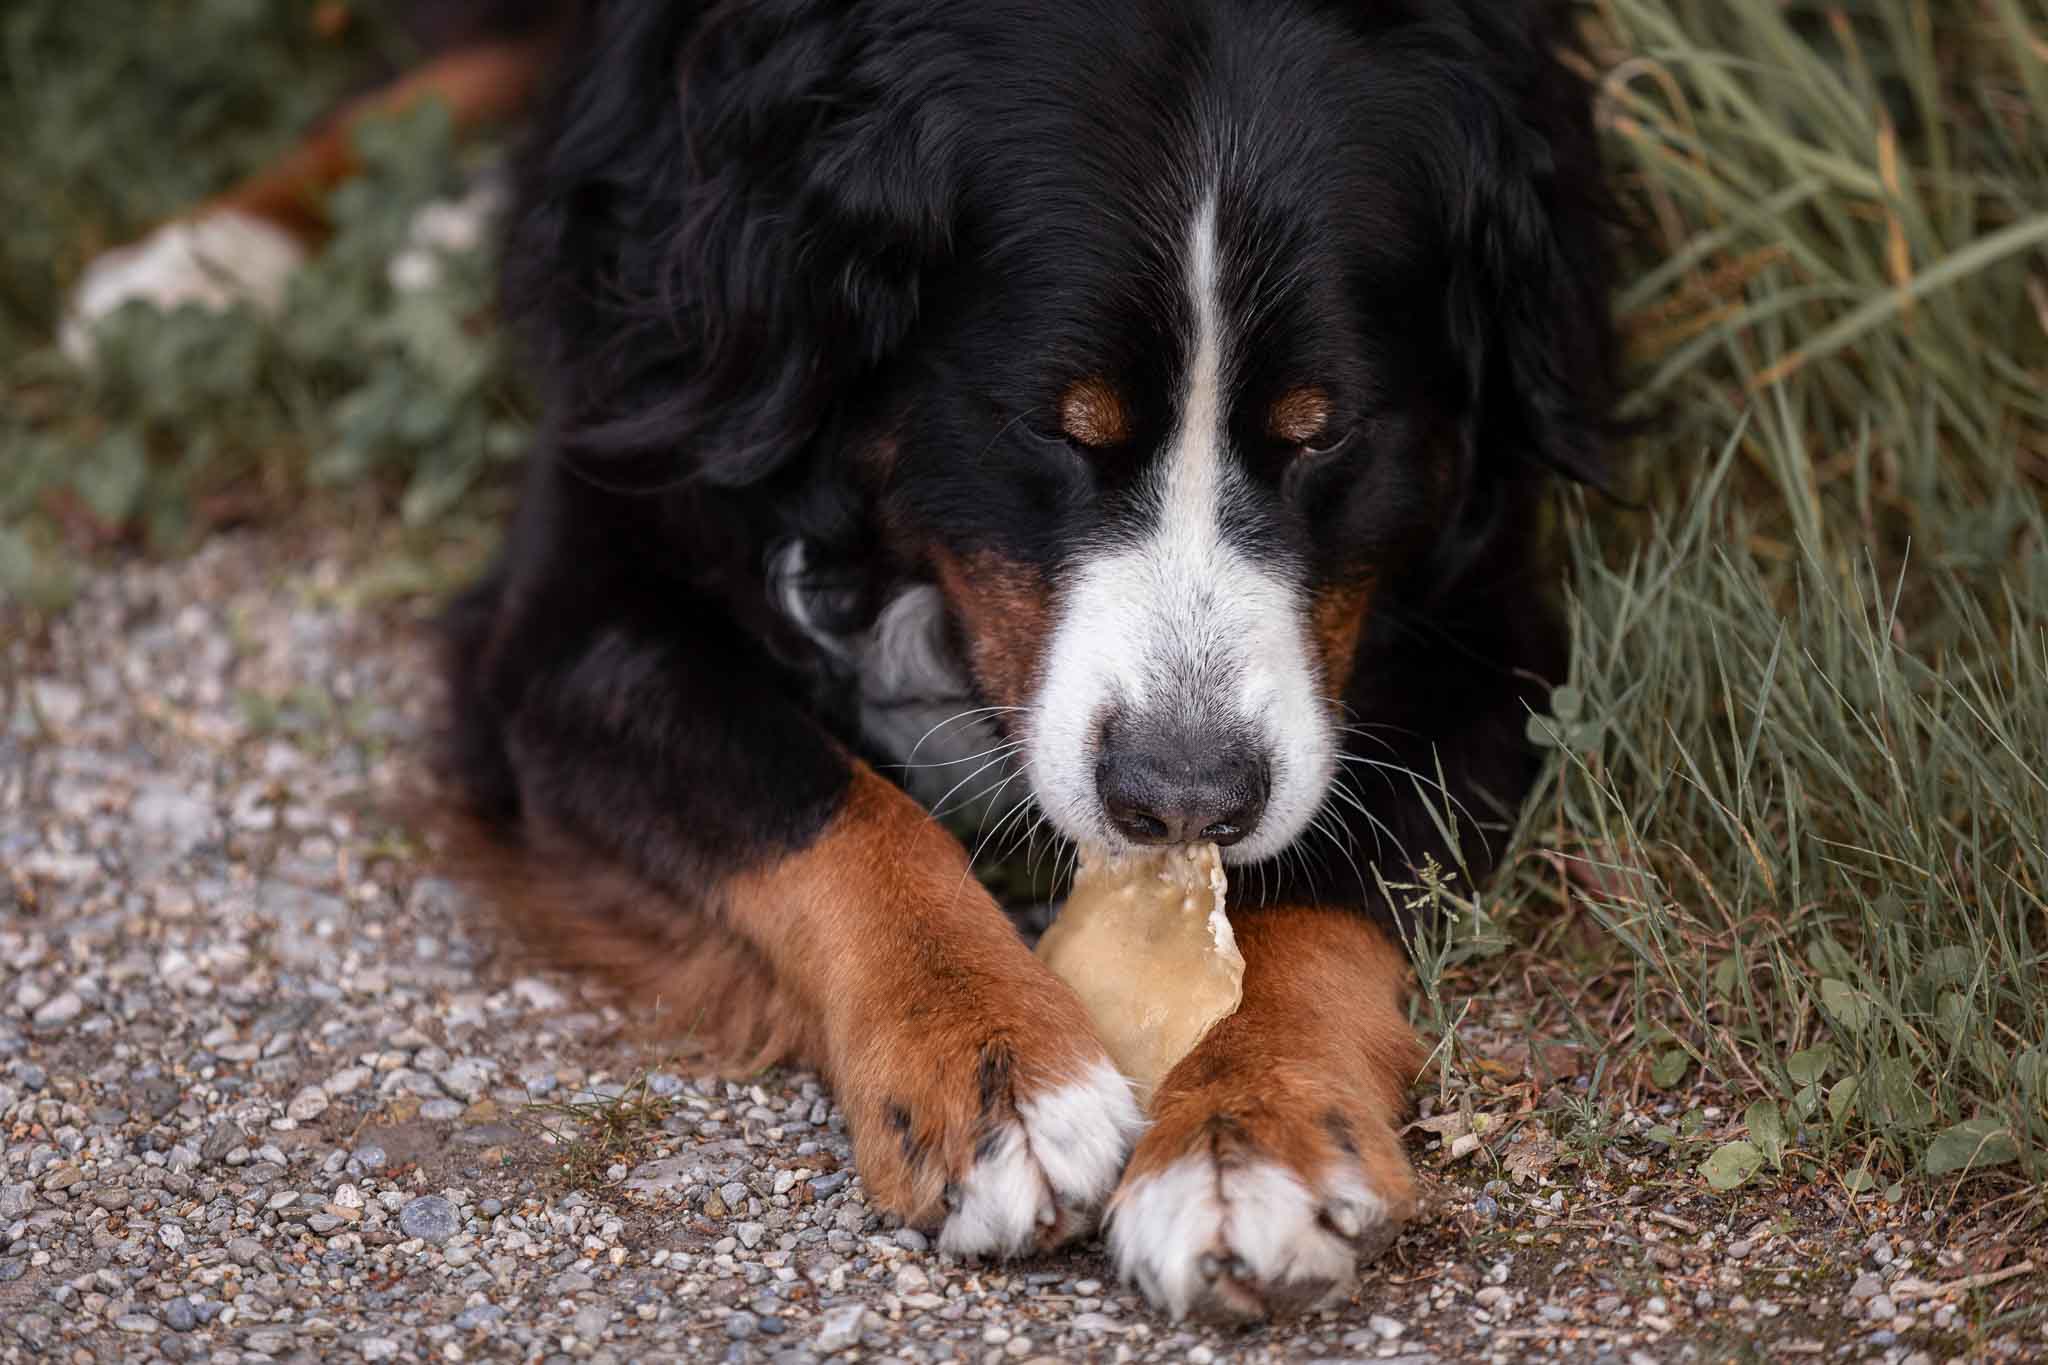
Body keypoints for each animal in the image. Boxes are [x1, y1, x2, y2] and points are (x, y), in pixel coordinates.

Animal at [72, 0, 1613, 1326]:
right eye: (1049, 427)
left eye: (1324, 433)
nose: (1184, 797)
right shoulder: (585, 595)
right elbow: (820, 805)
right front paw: (996, 1072)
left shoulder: (1491, 627)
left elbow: (1319, 879)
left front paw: (1252, 1136)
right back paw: (192, 265)